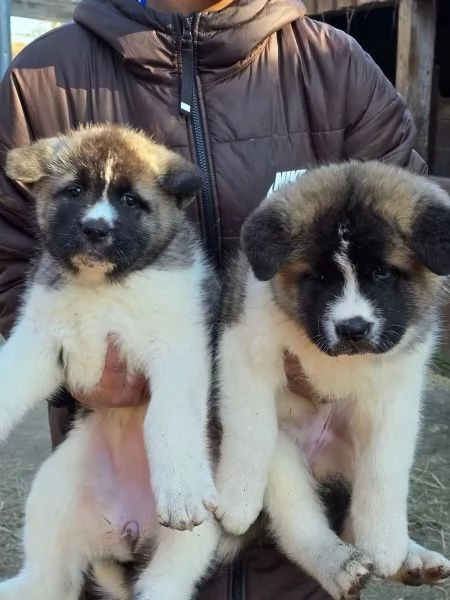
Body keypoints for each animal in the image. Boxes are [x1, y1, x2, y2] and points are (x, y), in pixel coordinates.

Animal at [0, 123, 223, 600]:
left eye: (130, 201)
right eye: (74, 191)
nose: (95, 230)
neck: (104, 286)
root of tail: (126, 526)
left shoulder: (177, 350)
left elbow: (168, 419)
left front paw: (180, 487)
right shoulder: (39, 341)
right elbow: (8, 380)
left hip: (194, 537)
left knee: (162, 585)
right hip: (52, 492)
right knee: (48, 580)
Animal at [214, 161, 450, 600]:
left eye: (382, 272)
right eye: (320, 277)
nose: (352, 329)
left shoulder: (397, 392)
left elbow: (386, 469)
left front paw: (386, 544)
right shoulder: (244, 348)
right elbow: (250, 430)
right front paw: (237, 499)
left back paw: (410, 558)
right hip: (286, 457)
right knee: (300, 522)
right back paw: (339, 564)